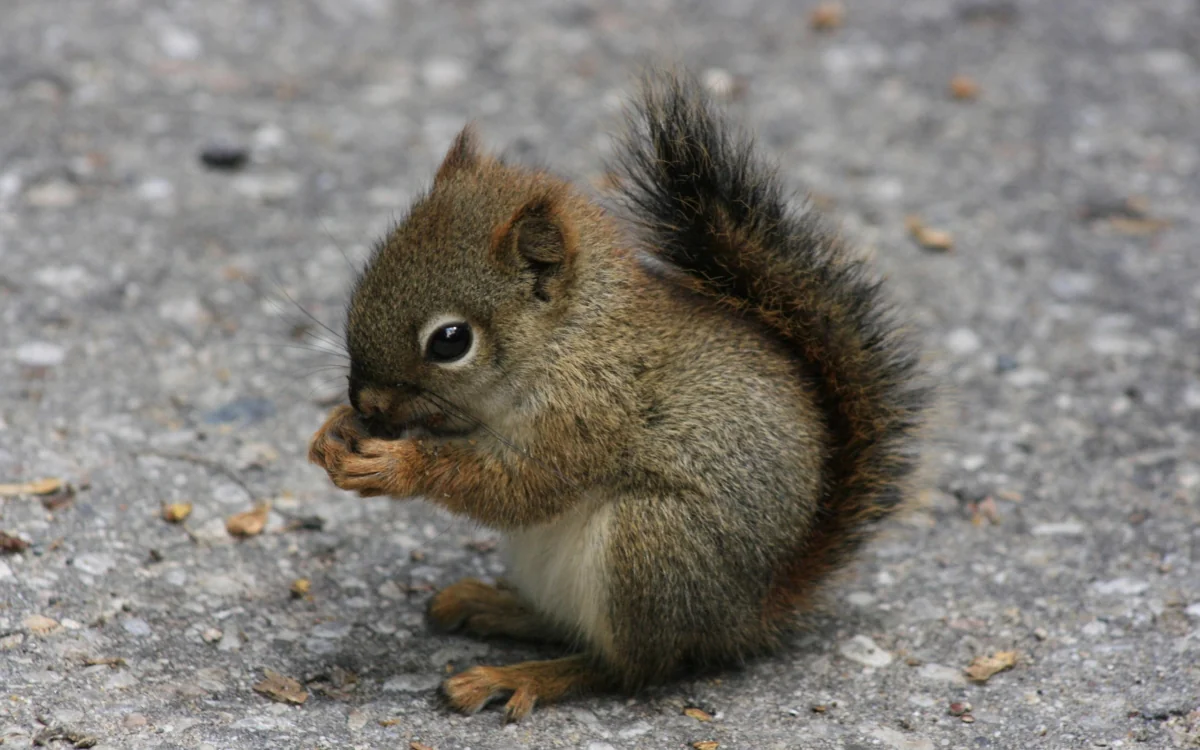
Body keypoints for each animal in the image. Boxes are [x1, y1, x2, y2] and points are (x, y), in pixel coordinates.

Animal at [307, 70, 928, 722]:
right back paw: (494, 606)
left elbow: (523, 487)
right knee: (568, 627)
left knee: (629, 667)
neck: (569, 338)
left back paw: (520, 676)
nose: (367, 402)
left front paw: (395, 465)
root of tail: (748, 615)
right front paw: (333, 432)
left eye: (451, 341)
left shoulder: (589, 412)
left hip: (652, 546)